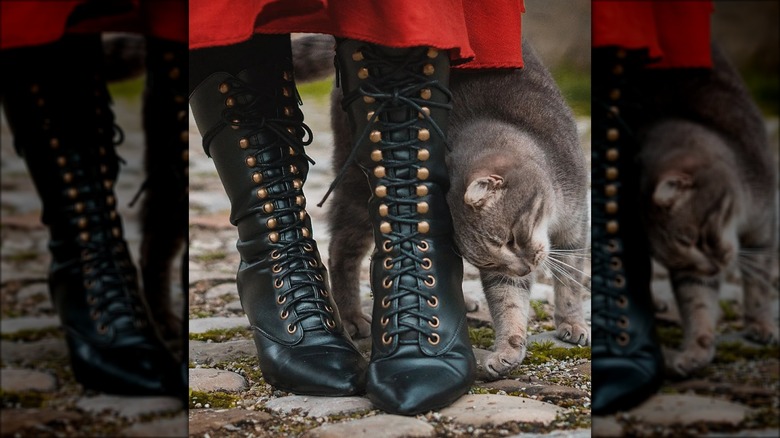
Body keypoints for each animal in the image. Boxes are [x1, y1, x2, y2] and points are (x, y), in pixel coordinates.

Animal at [296, 35, 588, 376]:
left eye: (512, 239)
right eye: (491, 264)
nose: (524, 270)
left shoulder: (574, 228)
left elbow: (569, 284)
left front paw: (570, 324)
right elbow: (509, 301)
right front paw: (508, 347)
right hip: (357, 185)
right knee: (341, 249)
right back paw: (352, 316)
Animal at [636, 44, 776, 374]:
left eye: (696, 238)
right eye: (680, 256)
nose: (713, 269)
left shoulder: (762, 229)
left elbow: (759, 283)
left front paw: (761, 325)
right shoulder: (691, 273)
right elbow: (698, 304)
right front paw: (696, 350)